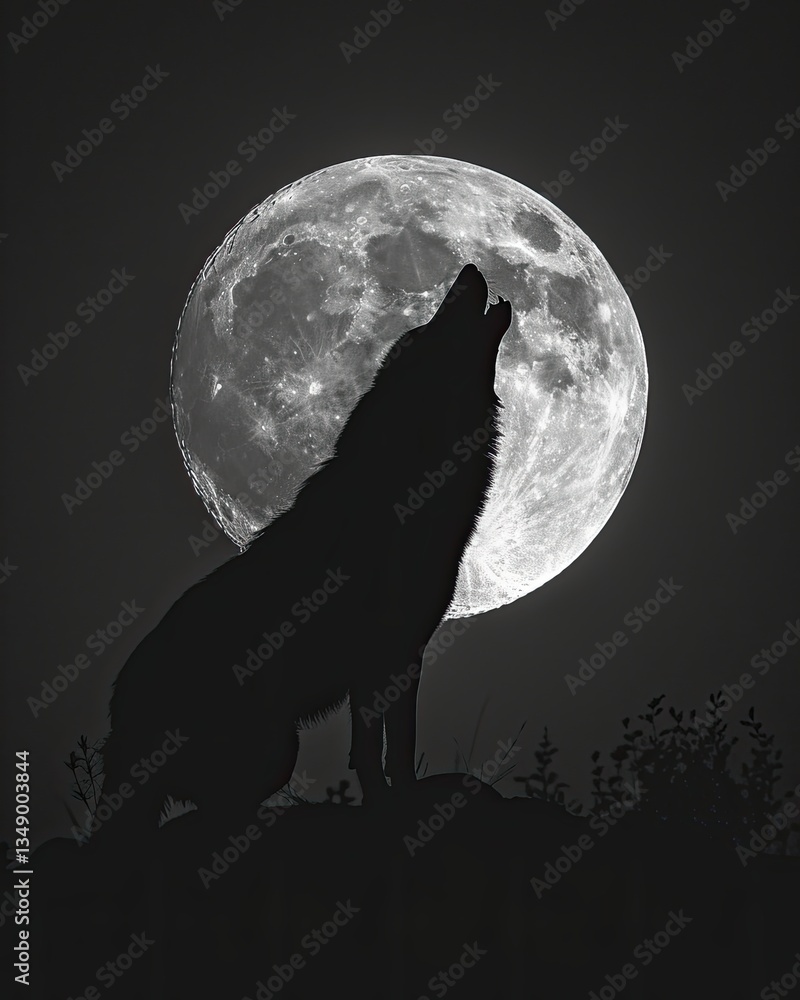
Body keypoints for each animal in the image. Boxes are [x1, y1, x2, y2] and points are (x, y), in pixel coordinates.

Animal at [93, 263, 511, 849]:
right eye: (429, 325)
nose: (470, 268)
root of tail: (121, 708)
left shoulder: (403, 653)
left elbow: (398, 748)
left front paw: (404, 801)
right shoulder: (378, 653)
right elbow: (374, 749)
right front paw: (388, 809)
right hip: (275, 750)